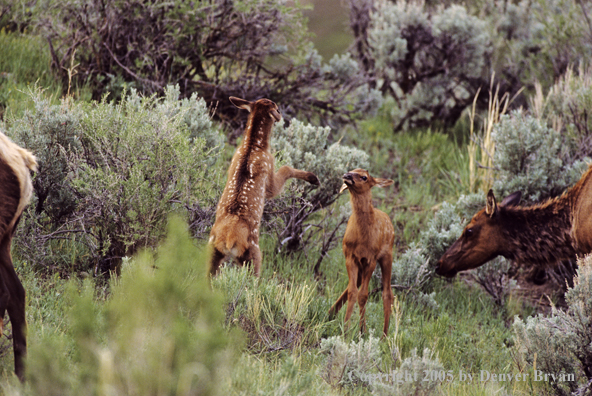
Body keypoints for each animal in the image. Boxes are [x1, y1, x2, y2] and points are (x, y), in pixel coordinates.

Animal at [208, 96, 320, 276]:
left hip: (212, 251)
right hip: (253, 252)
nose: (281, 117)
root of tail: (229, 240)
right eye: (277, 107)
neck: (255, 146)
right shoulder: (269, 175)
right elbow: (285, 168)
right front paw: (313, 178)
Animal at [326, 169, 396, 336]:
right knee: (354, 288)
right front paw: (346, 328)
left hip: (387, 256)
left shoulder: (371, 259)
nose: (347, 175)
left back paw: (384, 335)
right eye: (352, 169)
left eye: (364, 177)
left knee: (388, 293)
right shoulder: (350, 256)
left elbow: (363, 295)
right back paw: (331, 314)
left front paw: (359, 330)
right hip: (361, 265)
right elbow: (352, 292)